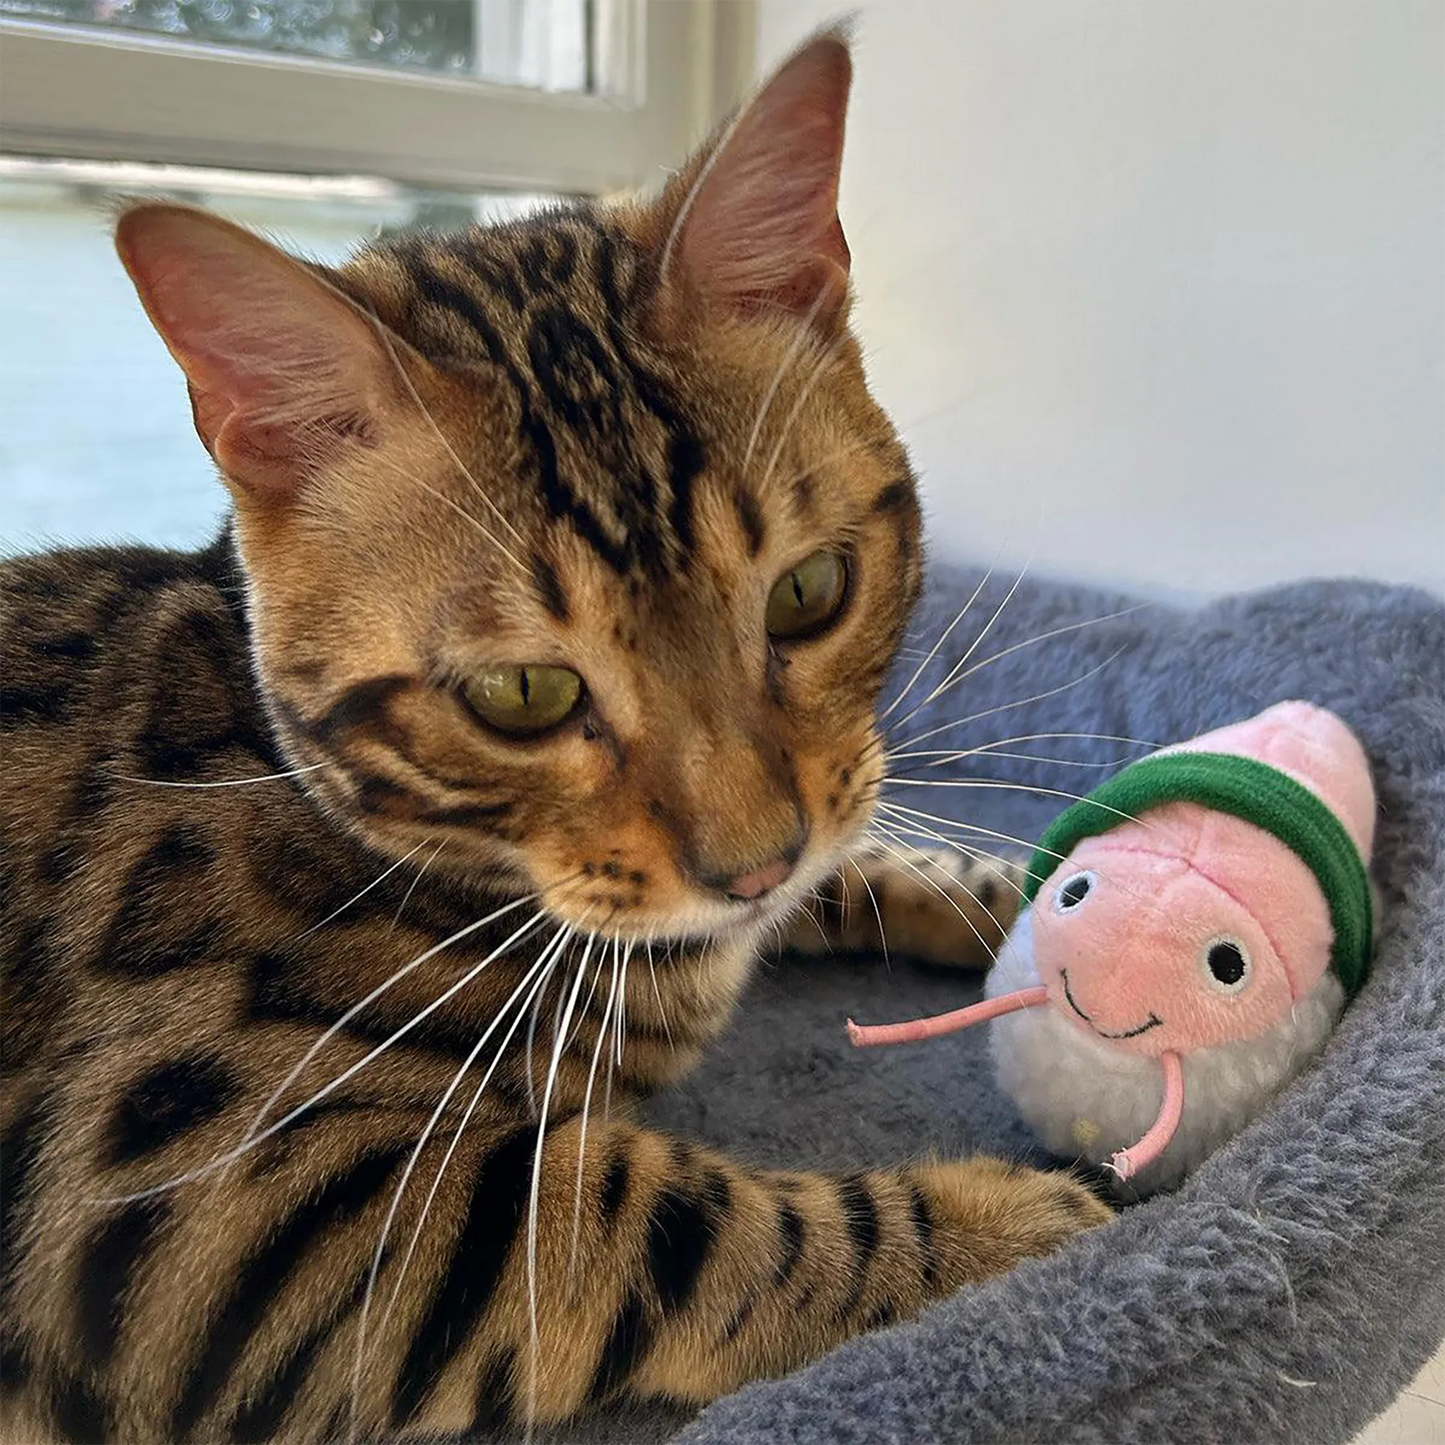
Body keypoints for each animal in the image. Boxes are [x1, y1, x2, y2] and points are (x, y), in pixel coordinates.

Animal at [0, 25, 1103, 1445]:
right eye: (521, 693)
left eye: (809, 591)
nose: (750, 860)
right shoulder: (199, 1209)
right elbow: (658, 1220)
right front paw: (993, 1229)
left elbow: (842, 859)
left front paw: (1025, 883)